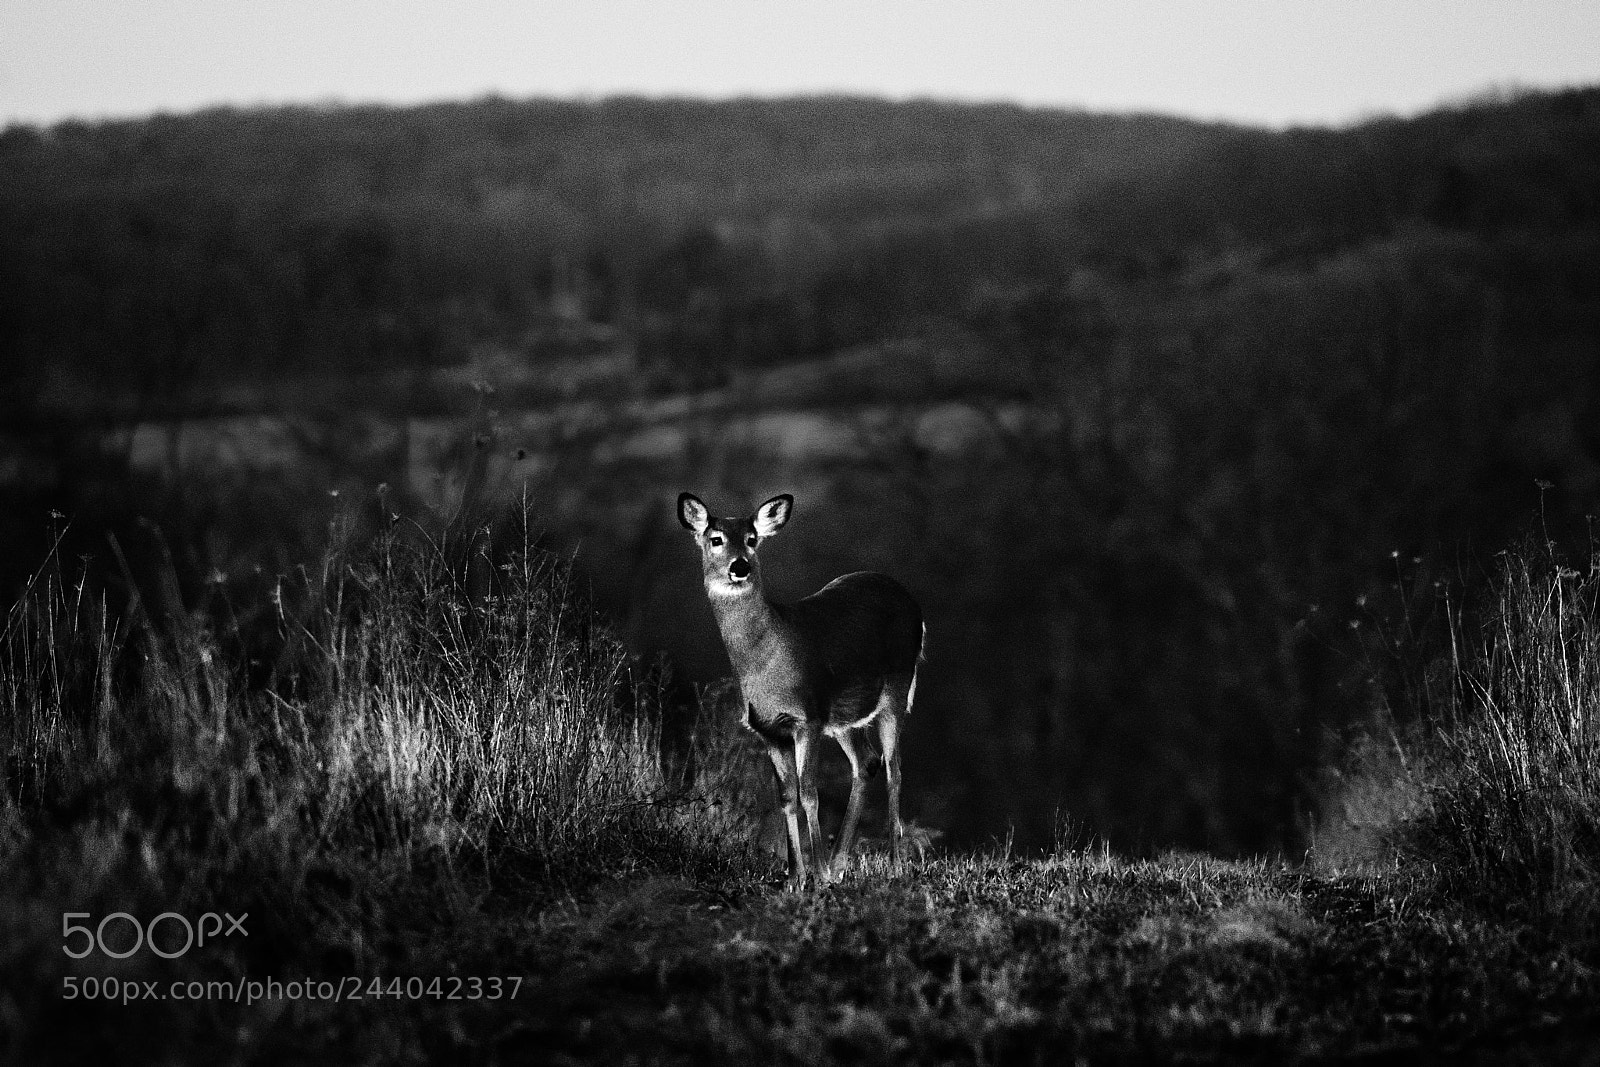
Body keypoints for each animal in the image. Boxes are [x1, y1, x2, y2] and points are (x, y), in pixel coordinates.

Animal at [678, 492, 924, 889]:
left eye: (752, 538)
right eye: (715, 539)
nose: (740, 567)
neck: (767, 660)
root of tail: (910, 601)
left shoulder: (808, 718)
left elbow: (809, 793)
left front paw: (817, 874)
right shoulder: (769, 729)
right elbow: (787, 797)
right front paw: (794, 877)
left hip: (897, 688)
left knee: (894, 770)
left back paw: (894, 865)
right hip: (845, 717)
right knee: (867, 762)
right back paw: (840, 864)